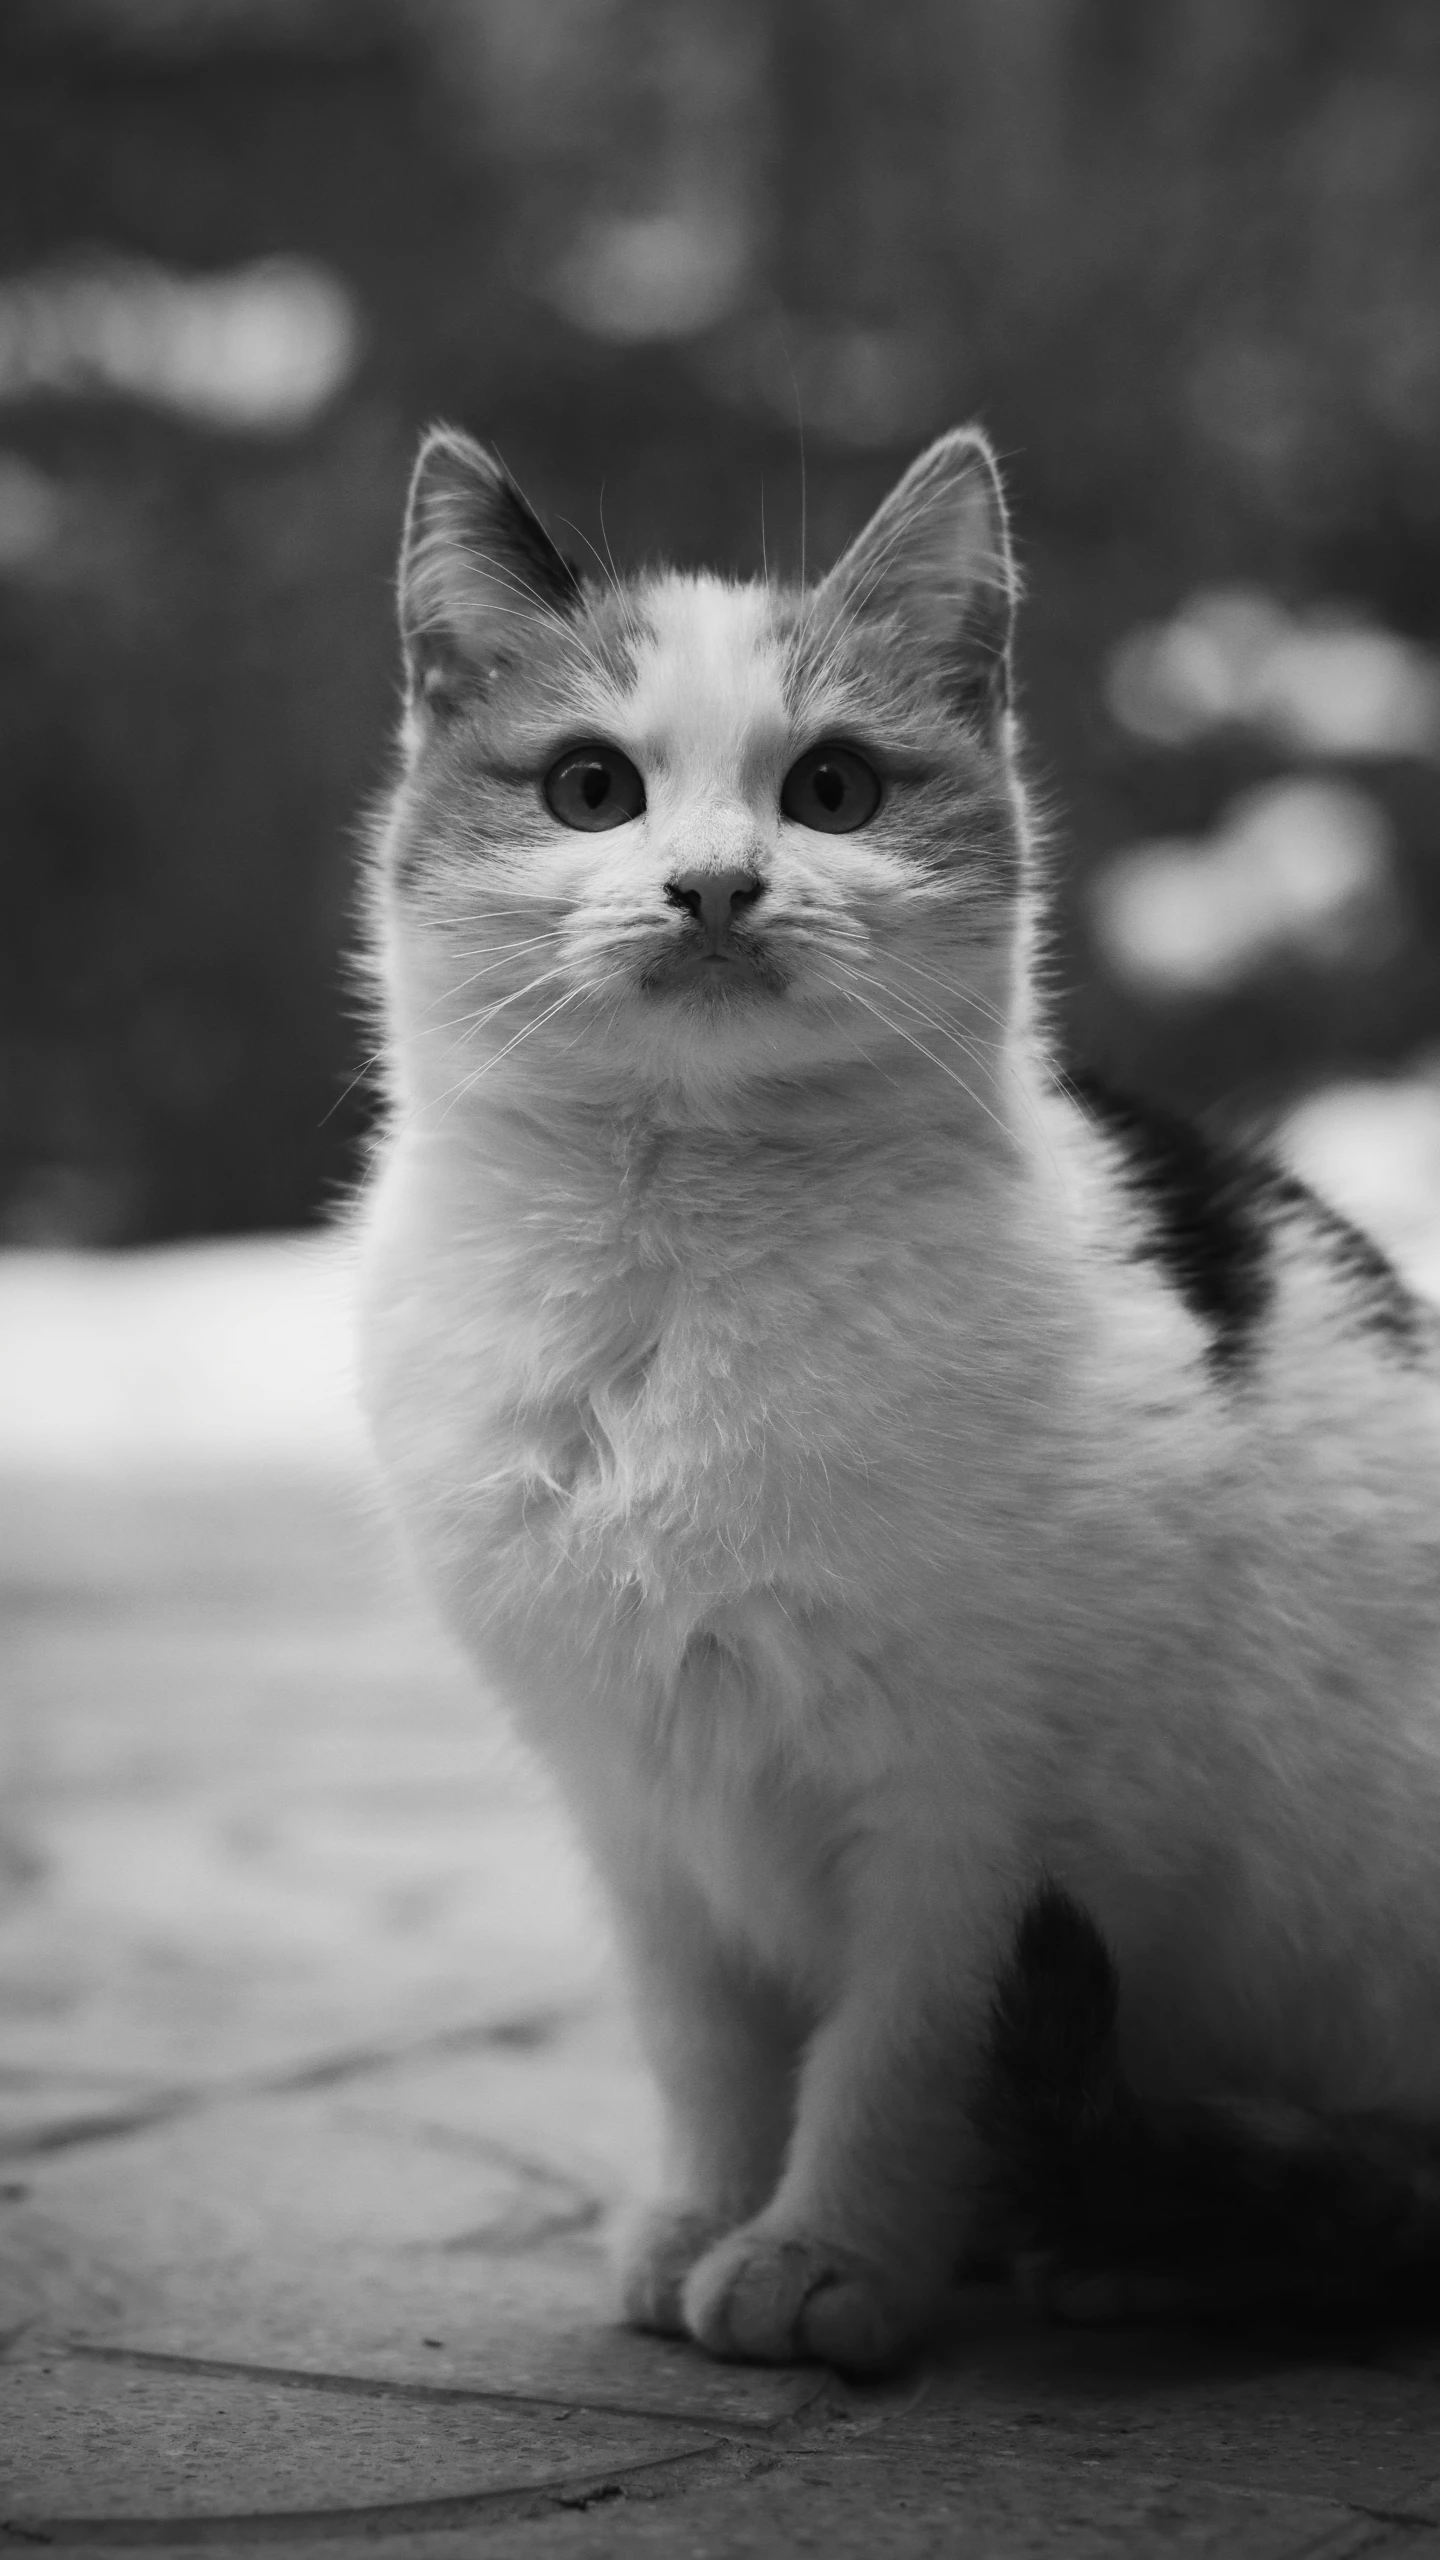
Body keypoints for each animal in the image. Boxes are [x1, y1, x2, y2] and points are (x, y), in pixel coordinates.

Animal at [356, 424, 1434, 2375]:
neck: (675, 1257)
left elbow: (898, 2060)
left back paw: (1153, 2244)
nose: (716, 883)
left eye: (835, 791)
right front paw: (703, 2217)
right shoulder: (633, 1800)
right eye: (589, 789)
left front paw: (823, 2257)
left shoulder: (981, 1816)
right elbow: (705, 2045)